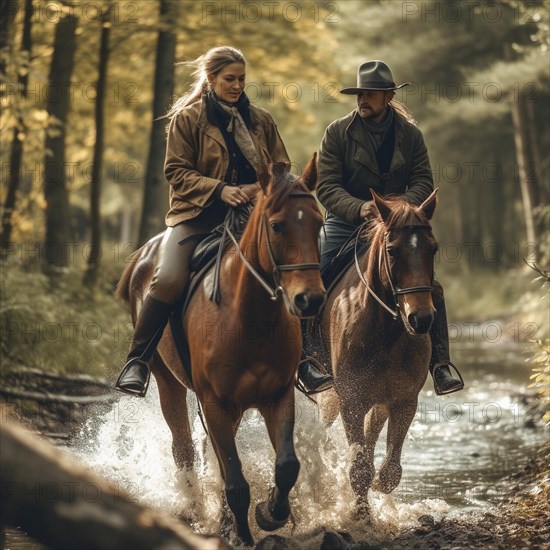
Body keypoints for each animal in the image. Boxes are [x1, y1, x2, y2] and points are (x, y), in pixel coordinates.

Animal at [115, 157, 326, 548]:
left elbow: (286, 465)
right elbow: (236, 481)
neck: (249, 320)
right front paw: (241, 534)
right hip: (169, 381)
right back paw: (194, 511)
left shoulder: (277, 397)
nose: (311, 299)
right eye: (277, 225)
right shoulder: (213, 402)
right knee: (183, 449)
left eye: (318, 222)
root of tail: (146, 252)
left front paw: (270, 514)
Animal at [320, 190, 440, 516]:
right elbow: (359, 469)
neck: (385, 333)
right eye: (392, 251)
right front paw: (361, 517)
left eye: (433, 249)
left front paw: (372, 496)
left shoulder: (403, 401)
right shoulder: (350, 401)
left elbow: (388, 473)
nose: (421, 319)